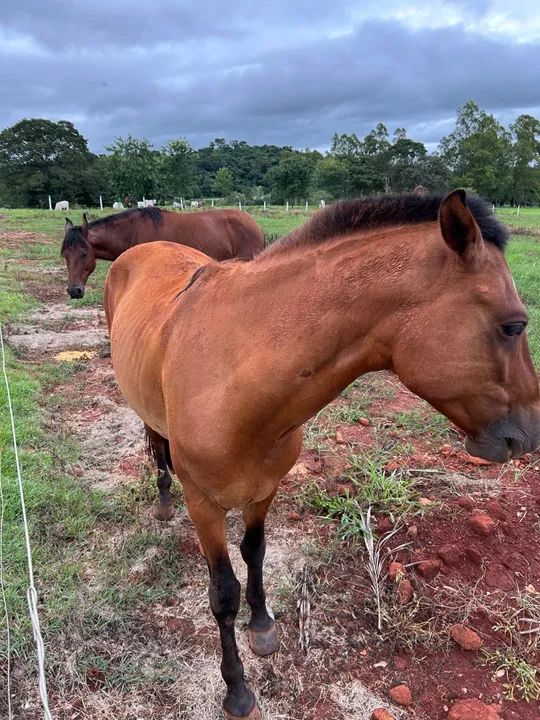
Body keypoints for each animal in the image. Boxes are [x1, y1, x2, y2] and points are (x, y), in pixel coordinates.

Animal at [104, 190, 540, 719]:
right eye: (513, 326)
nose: (531, 434)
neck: (233, 375)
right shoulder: (204, 505)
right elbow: (223, 594)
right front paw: (236, 689)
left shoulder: (264, 490)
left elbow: (254, 552)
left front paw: (263, 626)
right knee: (155, 442)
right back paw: (163, 500)